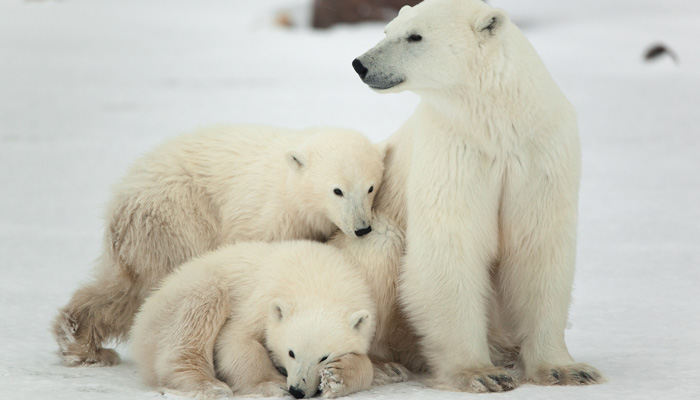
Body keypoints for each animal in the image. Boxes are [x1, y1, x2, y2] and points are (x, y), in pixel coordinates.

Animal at [52, 124, 385, 367]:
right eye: (338, 190)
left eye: (370, 187)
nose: (362, 227)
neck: (290, 188)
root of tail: (120, 196)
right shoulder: (261, 217)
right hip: (174, 217)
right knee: (146, 285)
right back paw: (84, 344)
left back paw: (82, 341)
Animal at [130, 240, 376, 399]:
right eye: (291, 352)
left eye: (324, 357)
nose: (297, 390)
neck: (318, 279)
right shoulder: (262, 297)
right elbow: (236, 340)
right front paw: (274, 386)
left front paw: (336, 377)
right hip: (175, 304)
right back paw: (211, 385)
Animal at [351, 0, 604, 392]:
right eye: (387, 30)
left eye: (414, 36)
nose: (361, 64)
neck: (497, 122)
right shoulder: (454, 150)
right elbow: (453, 245)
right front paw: (481, 373)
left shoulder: (539, 152)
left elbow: (537, 247)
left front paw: (566, 369)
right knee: (380, 247)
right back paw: (381, 365)